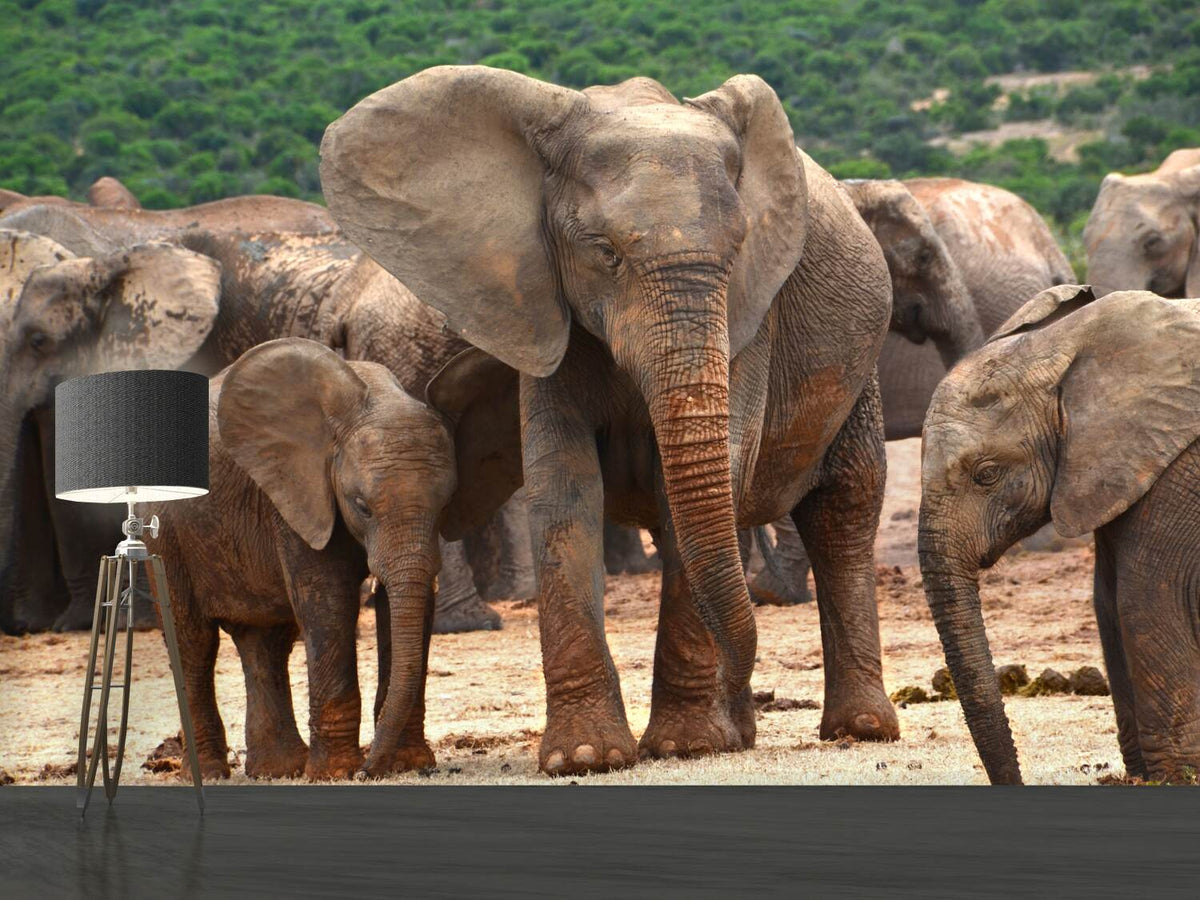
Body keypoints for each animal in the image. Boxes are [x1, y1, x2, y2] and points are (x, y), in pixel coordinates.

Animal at [154, 338, 520, 782]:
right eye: (361, 506)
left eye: (446, 503)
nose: (368, 770)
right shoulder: (299, 493)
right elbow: (328, 602)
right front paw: (337, 773)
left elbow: (408, 607)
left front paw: (407, 764)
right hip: (167, 529)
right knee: (193, 641)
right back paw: (209, 774)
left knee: (267, 642)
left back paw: (278, 770)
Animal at [319, 66, 902, 777]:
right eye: (604, 253)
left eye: (740, 248)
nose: (748, 704)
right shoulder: (539, 302)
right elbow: (564, 487)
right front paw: (586, 756)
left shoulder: (752, 316)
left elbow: (701, 492)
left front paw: (686, 746)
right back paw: (744, 731)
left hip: (861, 369)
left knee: (844, 508)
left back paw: (857, 729)